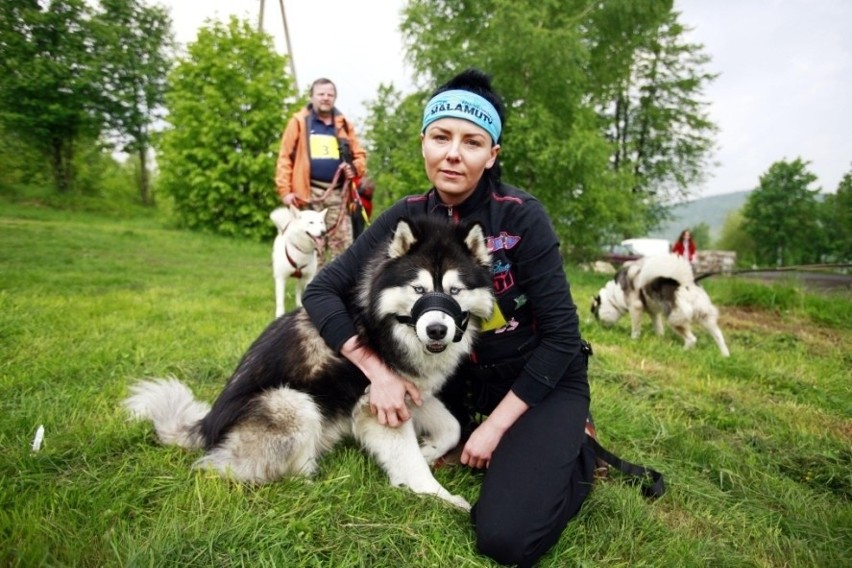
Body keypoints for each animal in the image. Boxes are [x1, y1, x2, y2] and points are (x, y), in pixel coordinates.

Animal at [120, 217, 492, 510]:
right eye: (418, 289)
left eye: (455, 291)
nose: (437, 329)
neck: (386, 325)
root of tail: (207, 424)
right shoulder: (380, 403)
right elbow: (410, 462)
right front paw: (438, 495)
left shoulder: (412, 391)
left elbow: (452, 427)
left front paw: (430, 450)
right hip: (292, 402)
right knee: (238, 470)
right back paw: (320, 483)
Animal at [588, 253, 728, 356]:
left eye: (595, 313)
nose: (592, 325)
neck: (614, 294)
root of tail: (685, 282)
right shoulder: (654, 313)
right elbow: (658, 327)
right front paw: (660, 339)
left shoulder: (636, 307)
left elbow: (635, 328)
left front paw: (633, 339)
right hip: (705, 318)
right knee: (719, 335)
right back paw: (725, 355)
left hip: (675, 320)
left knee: (692, 339)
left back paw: (681, 351)